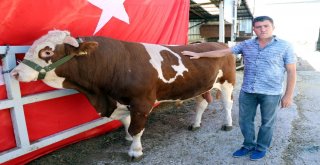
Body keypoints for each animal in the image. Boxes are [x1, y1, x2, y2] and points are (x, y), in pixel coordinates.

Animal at [11, 30, 235, 160]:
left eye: (47, 52)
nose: (15, 73)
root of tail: (220, 44)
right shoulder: (120, 101)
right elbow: (126, 122)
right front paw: (127, 138)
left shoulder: (142, 102)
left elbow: (137, 127)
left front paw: (135, 151)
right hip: (200, 86)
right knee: (202, 103)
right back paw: (195, 124)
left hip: (228, 82)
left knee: (227, 104)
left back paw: (228, 124)